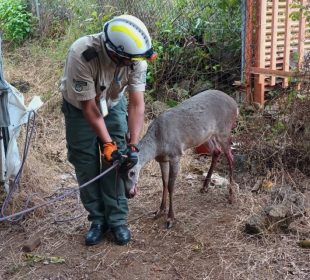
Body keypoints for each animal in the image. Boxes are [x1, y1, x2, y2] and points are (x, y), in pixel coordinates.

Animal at [123, 89, 237, 228]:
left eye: (132, 172)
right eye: (118, 174)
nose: (129, 194)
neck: (158, 144)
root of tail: (235, 104)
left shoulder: (175, 154)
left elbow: (171, 185)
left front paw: (170, 218)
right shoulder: (162, 159)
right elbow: (164, 182)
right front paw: (160, 210)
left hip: (224, 130)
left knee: (231, 157)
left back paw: (231, 196)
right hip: (207, 135)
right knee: (217, 151)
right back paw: (204, 187)